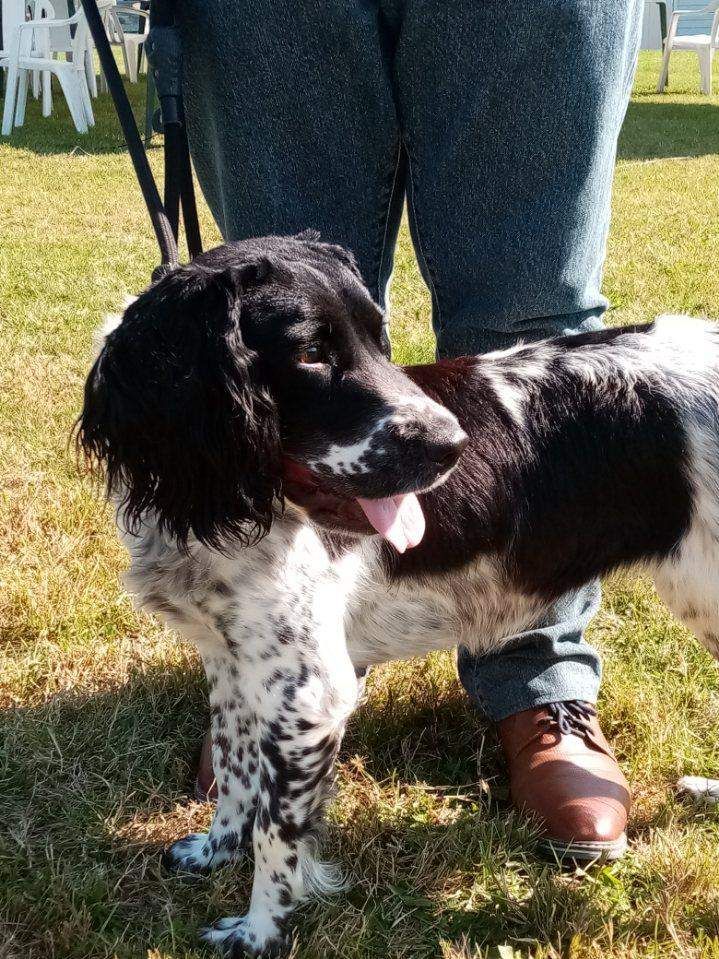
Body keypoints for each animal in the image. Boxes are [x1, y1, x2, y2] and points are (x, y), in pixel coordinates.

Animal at [78, 233, 719, 957]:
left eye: (377, 339)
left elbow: (277, 833)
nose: (455, 445)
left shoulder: (309, 696)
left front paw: (260, 930)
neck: (227, 504)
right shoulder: (233, 663)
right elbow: (237, 773)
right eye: (309, 353)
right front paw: (216, 851)